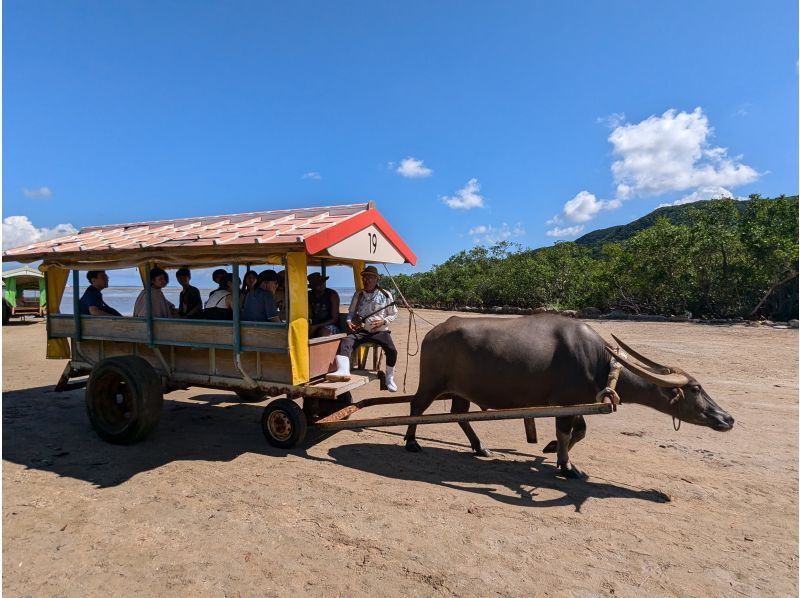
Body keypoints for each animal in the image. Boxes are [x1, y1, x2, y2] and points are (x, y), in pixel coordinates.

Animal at [404, 314, 736, 478]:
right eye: (695, 388)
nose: (727, 418)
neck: (599, 362)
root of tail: (434, 331)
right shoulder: (565, 403)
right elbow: (566, 433)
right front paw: (566, 465)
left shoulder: (577, 403)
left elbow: (580, 431)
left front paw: (552, 450)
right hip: (431, 383)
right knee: (417, 406)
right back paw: (411, 443)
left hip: (461, 390)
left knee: (460, 414)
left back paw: (479, 447)